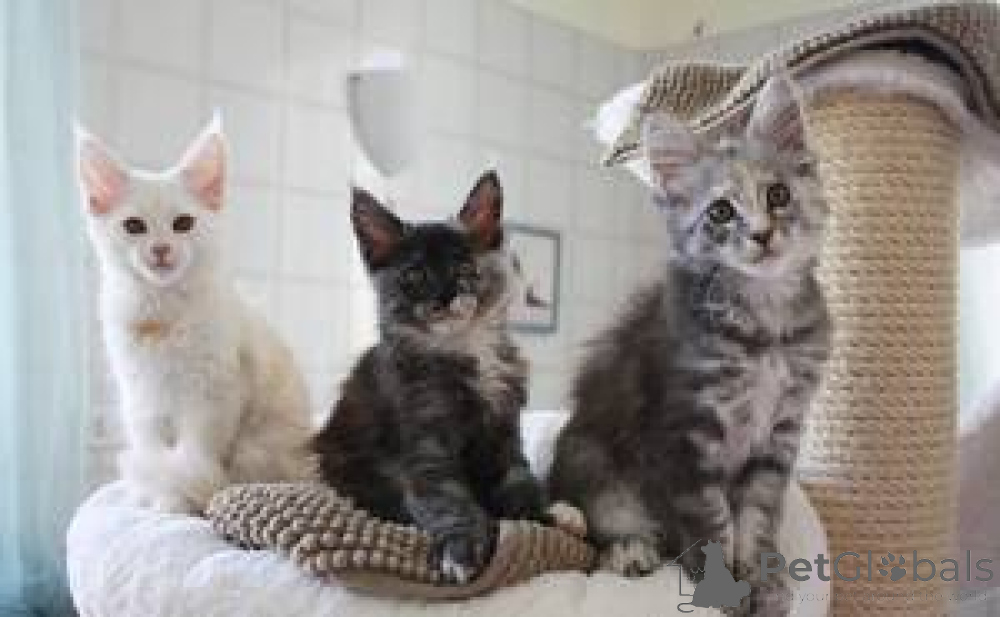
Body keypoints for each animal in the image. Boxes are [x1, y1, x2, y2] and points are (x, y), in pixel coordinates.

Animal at [77, 116, 314, 515]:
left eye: (183, 223)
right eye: (134, 226)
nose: (161, 249)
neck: (162, 312)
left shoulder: (213, 394)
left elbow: (193, 456)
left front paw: (175, 501)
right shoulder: (141, 398)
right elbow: (154, 451)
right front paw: (151, 497)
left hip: (260, 446)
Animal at [312, 172, 549, 583]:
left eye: (464, 269)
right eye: (415, 275)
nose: (445, 295)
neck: (464, 349)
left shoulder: (506, 432)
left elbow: (521, 479)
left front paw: (546, 520)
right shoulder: (424, 450)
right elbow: (449, 501)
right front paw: (461, 549)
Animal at [549, 77, 830, 615]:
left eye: (778, 194)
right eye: (720, 211)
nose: (762, 234)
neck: (764, 323)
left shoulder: (778, 435)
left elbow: (757, 517)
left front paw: (764, 580)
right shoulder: (684, 434)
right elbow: (709, 522)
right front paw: (722, 588)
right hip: (591, 458)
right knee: (598, 532)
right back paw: (628, 549)